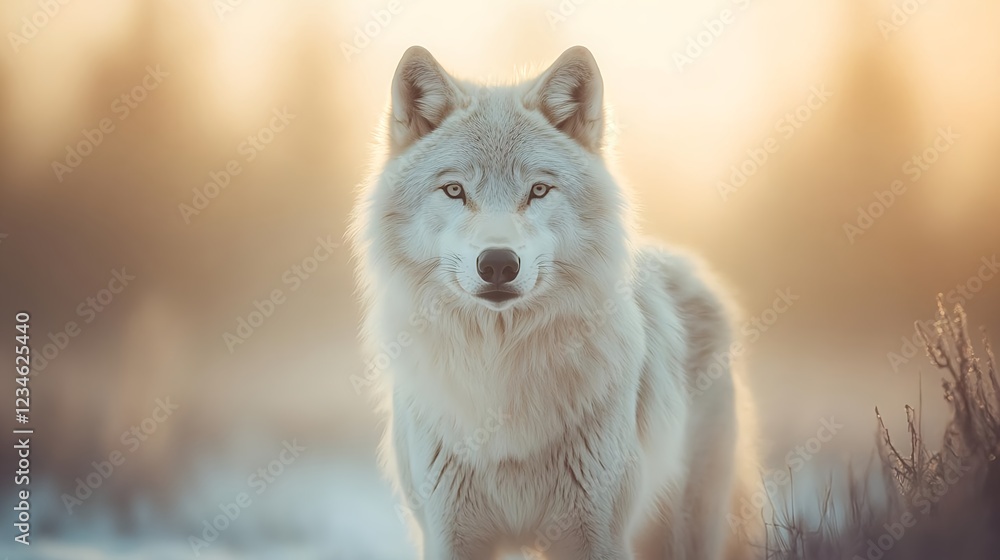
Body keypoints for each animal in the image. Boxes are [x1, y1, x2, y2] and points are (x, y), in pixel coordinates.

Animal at [350, 45, 761, 560]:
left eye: (539, 190)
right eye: (455, 190)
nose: (499, 263)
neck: (499, 376)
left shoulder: (598, 535)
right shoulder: (448, 535)